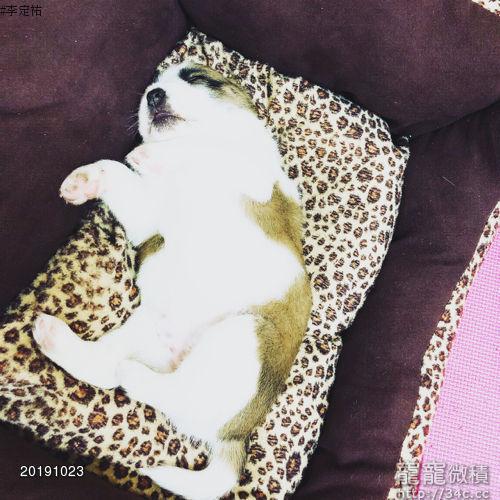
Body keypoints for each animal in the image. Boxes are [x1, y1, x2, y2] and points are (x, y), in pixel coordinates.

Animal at [33, 62, 311, 500]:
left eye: (195, 78)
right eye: (151, 87)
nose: (154, 96)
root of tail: (235, 435)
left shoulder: (250, 176)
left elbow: (207, 148)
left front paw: (151, 154)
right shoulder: (150, 219)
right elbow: (116, 170)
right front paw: (87, 179)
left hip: (245, 334)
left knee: (167, 392)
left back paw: (131, 375)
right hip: (147, 329)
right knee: (105, 370)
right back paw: (55, 337)